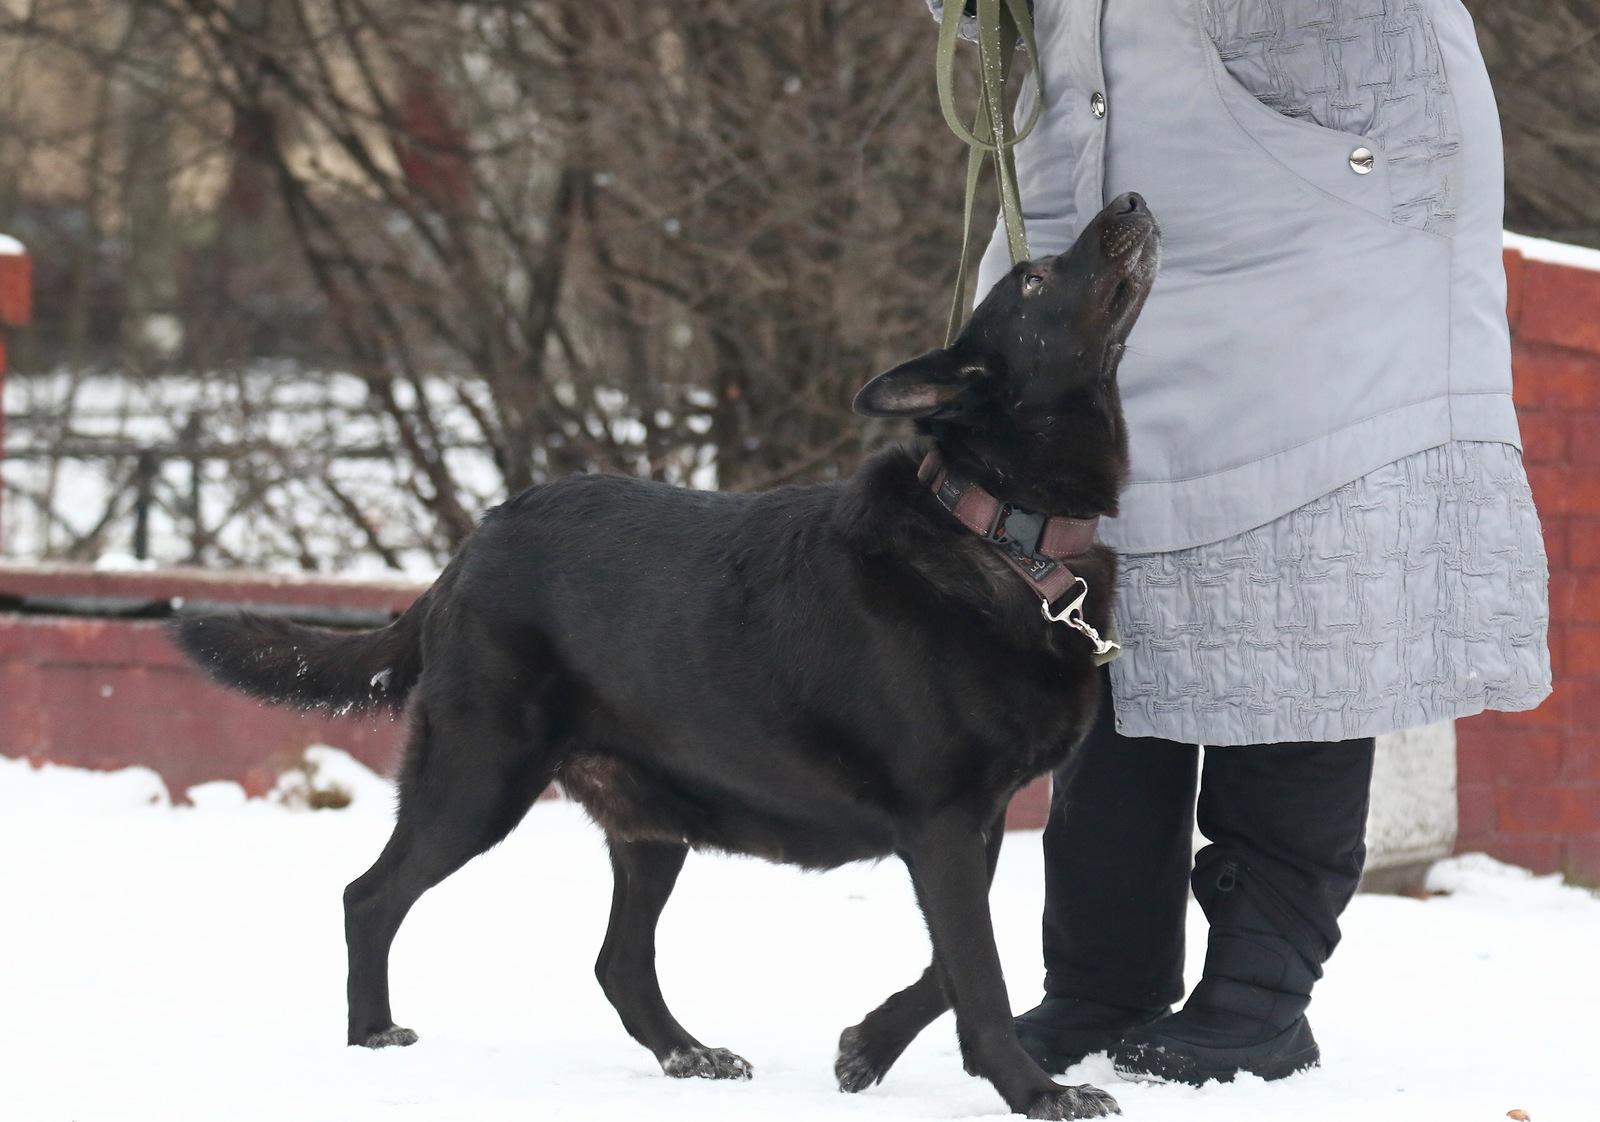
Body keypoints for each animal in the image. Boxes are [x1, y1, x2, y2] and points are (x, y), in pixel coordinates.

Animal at [175, 194, 1158, 1120]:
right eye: (1033, 281)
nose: (1132, 203)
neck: (1002, 530)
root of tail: (474, 543)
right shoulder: (943, 821)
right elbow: (979, 976)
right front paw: (1039, 1093)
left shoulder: (975, 825)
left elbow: (947, 971)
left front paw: (865, 1049)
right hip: (478, 777)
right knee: (370, 898)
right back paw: (373, 1040)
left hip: (652, 820)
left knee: (616, 961)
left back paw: (689, 1055)